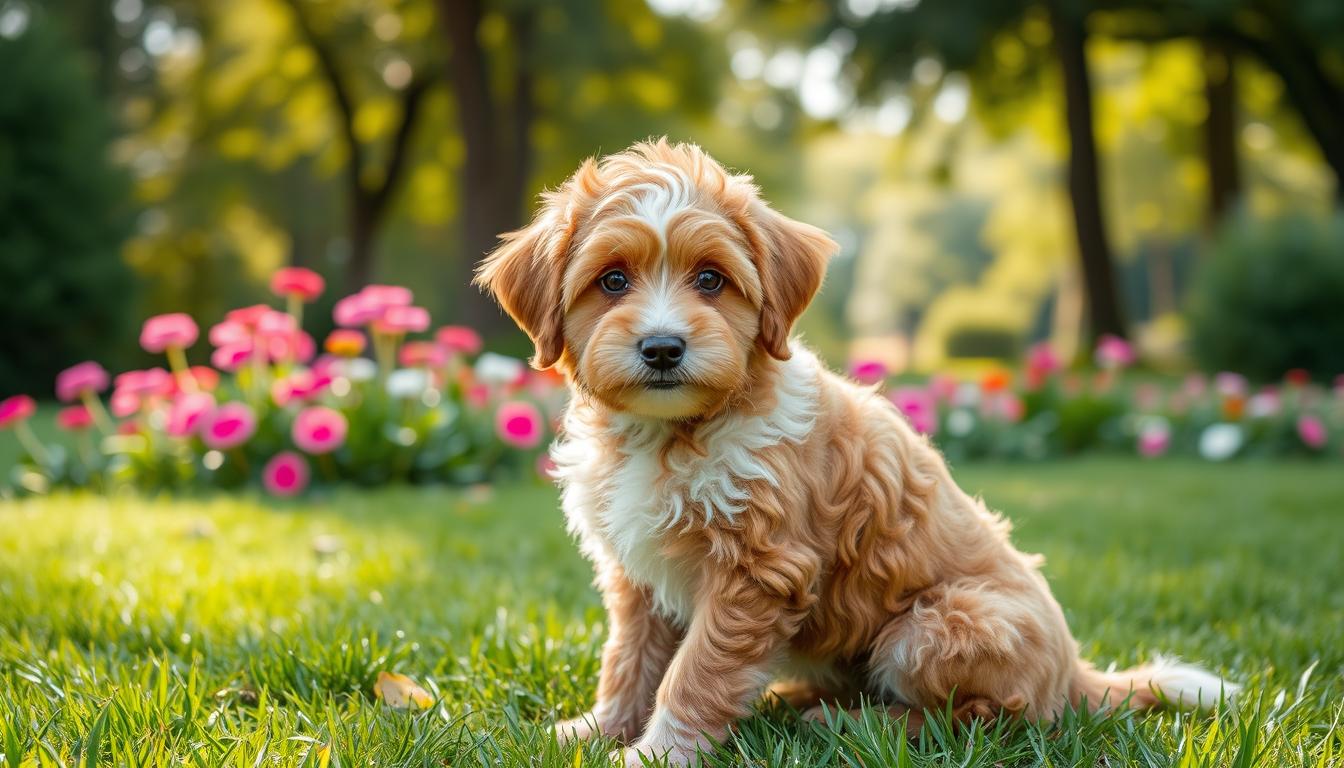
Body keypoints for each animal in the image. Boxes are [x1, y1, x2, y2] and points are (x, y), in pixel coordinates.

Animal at [475, 139, 1236, 768]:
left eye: (711, 280)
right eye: (611, 281)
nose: (663, 348)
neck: (674, 434)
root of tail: (1075, 673)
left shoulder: (757, 570)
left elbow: (696, 674)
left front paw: (658, 754)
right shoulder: (639, 576)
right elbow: (630, 661)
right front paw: (594, 730)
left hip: (938, 627)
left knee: (987, 719)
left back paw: (847, 722)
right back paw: (796, 700)